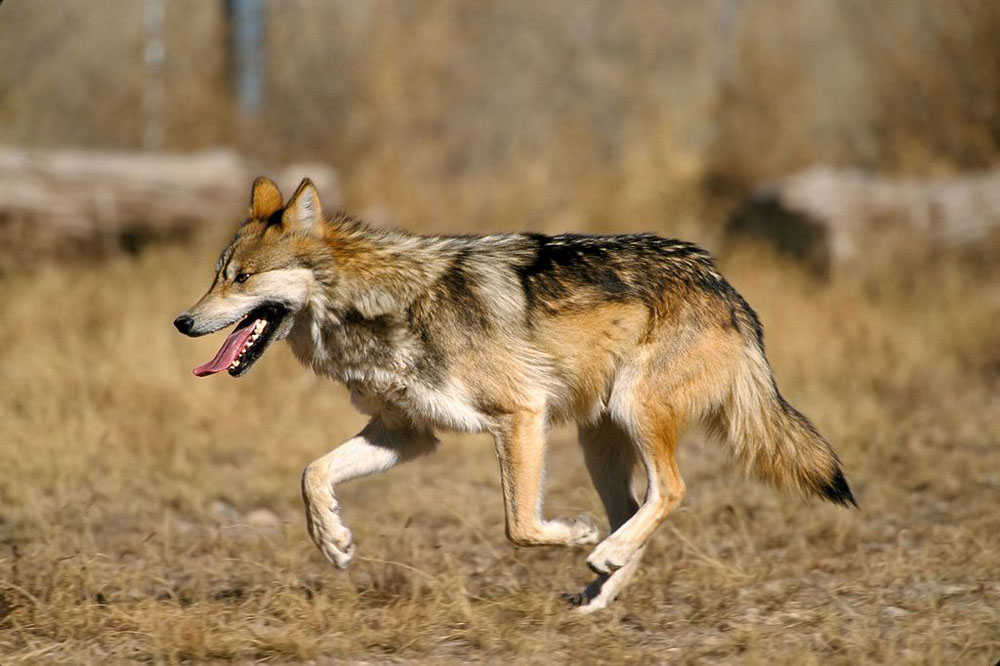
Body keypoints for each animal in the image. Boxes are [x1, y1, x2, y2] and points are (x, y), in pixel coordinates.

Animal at [174, 177, 856, 612]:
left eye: (242, 278)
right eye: (216, 276)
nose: (182, 321)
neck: (379, 305)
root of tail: (724, 286)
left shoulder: (519, 416)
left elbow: (520, 526)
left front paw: (573, 534)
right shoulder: (406, 434)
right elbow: (312, 473)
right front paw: (333, 541)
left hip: (632, 414)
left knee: (670, 492)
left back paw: (600, 553)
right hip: (598, 442)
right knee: (637, 509)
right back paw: (599, 589)